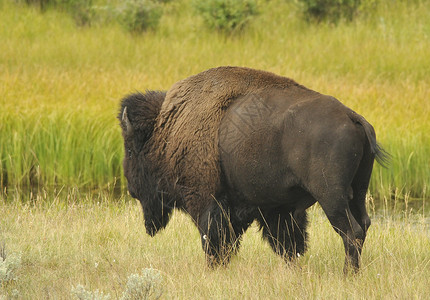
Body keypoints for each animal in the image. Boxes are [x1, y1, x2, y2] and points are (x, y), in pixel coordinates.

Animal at [118, 67, 390, 274]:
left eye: (130, 149)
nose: (131, 189)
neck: (167, 130)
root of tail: (352, 116)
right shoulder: (274, 209)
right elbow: (285, 244)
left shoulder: (207, 202)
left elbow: (214, 241)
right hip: (358, 191)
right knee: (363, 224)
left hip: (331, 196)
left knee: (351, 231)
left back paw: (347, 275)